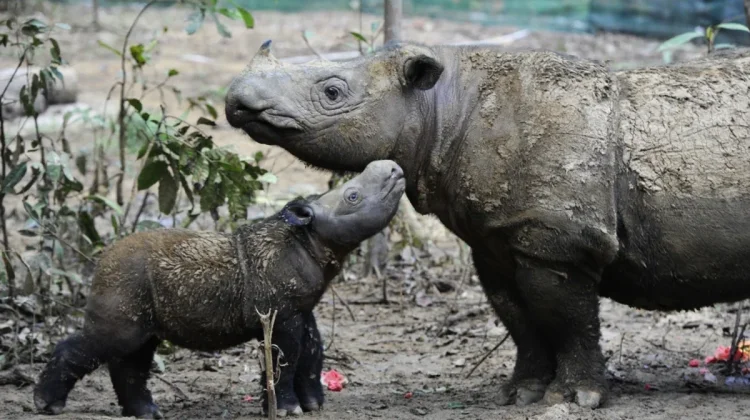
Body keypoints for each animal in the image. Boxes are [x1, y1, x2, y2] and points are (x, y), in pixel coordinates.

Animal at [33, 160, 406, 418]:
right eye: (353, 196)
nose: (394, 168)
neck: (308, 238)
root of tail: (100, 260)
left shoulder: (299, 307)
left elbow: (313, 349)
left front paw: (313, 404)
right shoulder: (282, 312)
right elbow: (284, 358)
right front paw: (287, 410)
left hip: (135, 288)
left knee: (135, 349)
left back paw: (147, 413)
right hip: (123, 279)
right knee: (113, 341)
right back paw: (47, 405)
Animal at [224, 40, 750, 408]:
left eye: (332, 92)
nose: (236, 100)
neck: (441, 107)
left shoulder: (556, 241)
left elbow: (569, 321)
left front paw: (575, 399)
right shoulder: (495, 238)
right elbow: (519, 318)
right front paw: (519, 394)